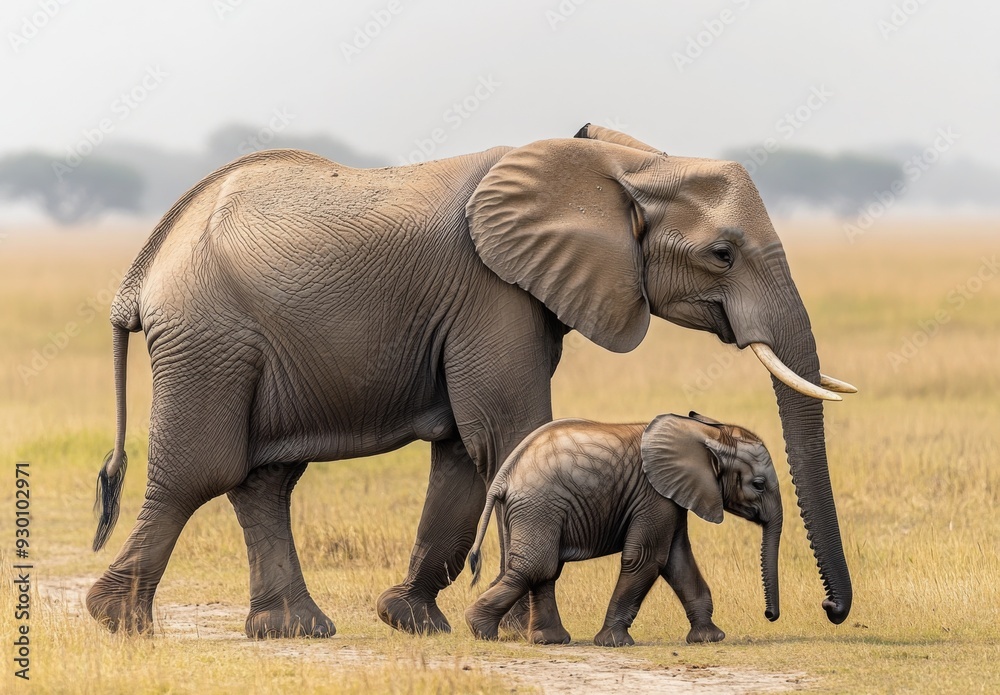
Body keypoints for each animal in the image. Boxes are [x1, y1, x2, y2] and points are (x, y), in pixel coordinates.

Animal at [464, 412, 782, 647]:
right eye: (758, 484)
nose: (769, 615)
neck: (704, 432)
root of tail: (503, 476)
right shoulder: (654, 494)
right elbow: (647, 559)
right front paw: (614, 643)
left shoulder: (672, 495)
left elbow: (678, 561)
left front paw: (709, 638)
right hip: (539, 505)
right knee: (537, 567)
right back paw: (481, 630)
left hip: (535, 509)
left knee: (545, 570)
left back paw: (548, 641)